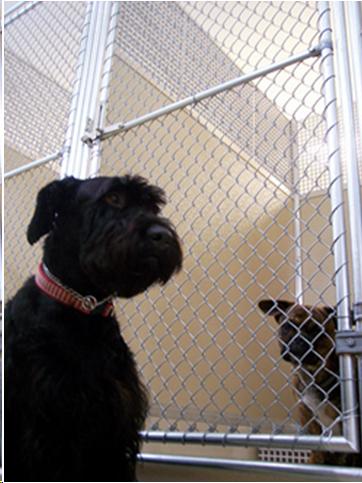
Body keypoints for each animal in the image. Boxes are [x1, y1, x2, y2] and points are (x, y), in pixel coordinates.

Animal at [4, 176, 182, 482]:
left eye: (153, 207)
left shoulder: (115, 428)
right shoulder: (50, 429)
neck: (84, 309)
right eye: (113, 198)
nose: (163, 235)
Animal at [258, 300, 360, 466]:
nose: (300, 339)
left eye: (317, 330)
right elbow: (317, 443)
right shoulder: (307, 413)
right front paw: (317, 459)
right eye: (287, 326)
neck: (312, 374)